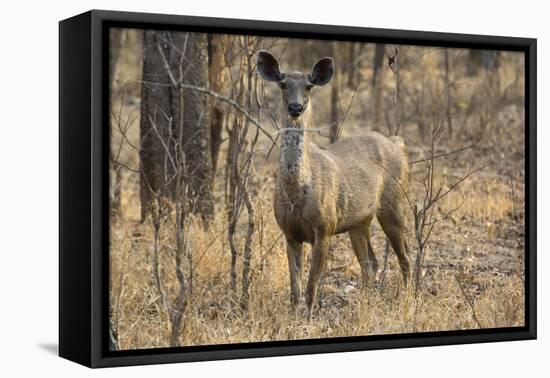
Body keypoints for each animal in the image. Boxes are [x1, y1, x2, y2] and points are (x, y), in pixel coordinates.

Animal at [258, 50, 410, 320]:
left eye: (308, 86)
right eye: (283, 84)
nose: (295, 107)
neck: (298, 194)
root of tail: (397, 143)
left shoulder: (324, 227)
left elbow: (311, 288)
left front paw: (307, 321)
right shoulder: (289, 232)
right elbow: (294, 291)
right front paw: (292, 320)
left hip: (393, 203)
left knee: (405, 258)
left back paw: (409, 298)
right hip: (359, 221)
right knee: (370, 264)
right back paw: (364, 306)